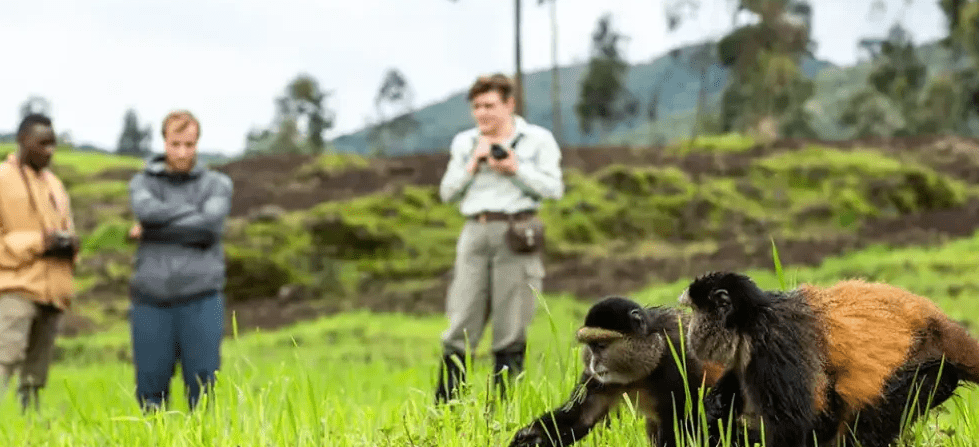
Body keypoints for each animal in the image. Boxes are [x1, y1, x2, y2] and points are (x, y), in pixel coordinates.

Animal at [508, 296, 726, 447]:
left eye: (601, 345)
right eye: (591, 346)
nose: (594, 363)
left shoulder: (678, 359)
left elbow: (684, 421)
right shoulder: (597, 380)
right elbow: (582, 417)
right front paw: (529, 437)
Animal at [678, 271, 979, 447]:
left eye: (696, 312)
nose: (690, 331)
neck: (752, 317)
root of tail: (941, 326)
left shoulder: (773, 344)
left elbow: (797, 428)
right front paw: (714, 410)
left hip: (925, 371)